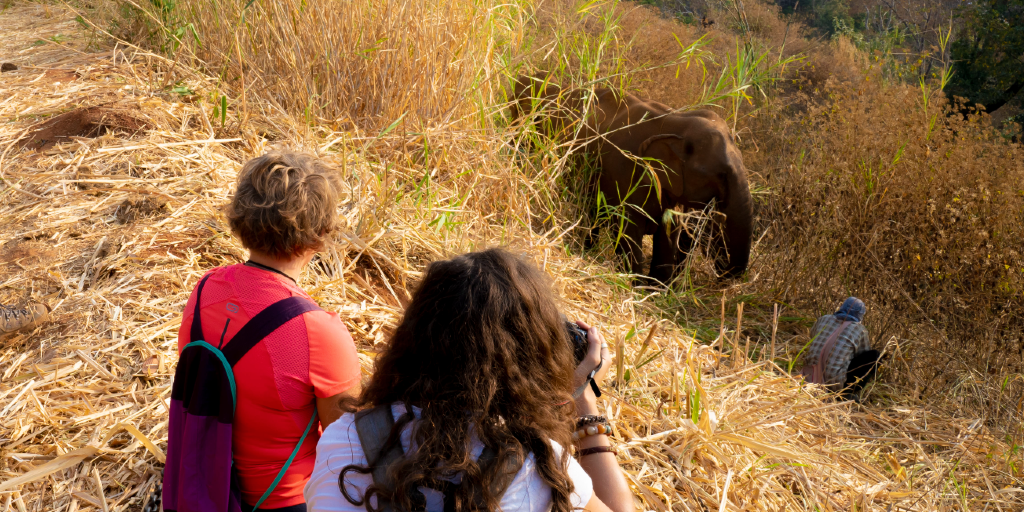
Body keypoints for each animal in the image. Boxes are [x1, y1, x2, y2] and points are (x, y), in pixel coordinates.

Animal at [512, 74, 753, 284]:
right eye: (722, 175)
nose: (722, 272)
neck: (678, 121)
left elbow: (669, 231)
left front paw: (657, 290)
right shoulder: (627, 171)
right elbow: (629, 230)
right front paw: (635, 286)